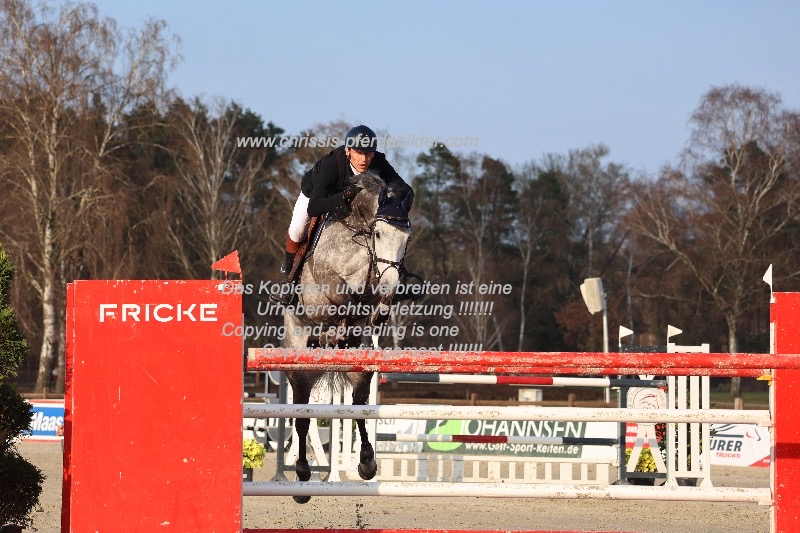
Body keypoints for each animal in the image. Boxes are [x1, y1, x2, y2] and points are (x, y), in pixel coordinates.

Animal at [282, 170, 410, 502]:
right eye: (379, 235)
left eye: (406, 239)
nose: (392, 285)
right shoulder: (327, 276)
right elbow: (342, 289)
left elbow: (368, 293)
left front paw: (378, 309)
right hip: (300, 371)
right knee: (302, 418)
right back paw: (302, 476)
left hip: (360, 371)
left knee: (359, 408)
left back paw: (366, 463)